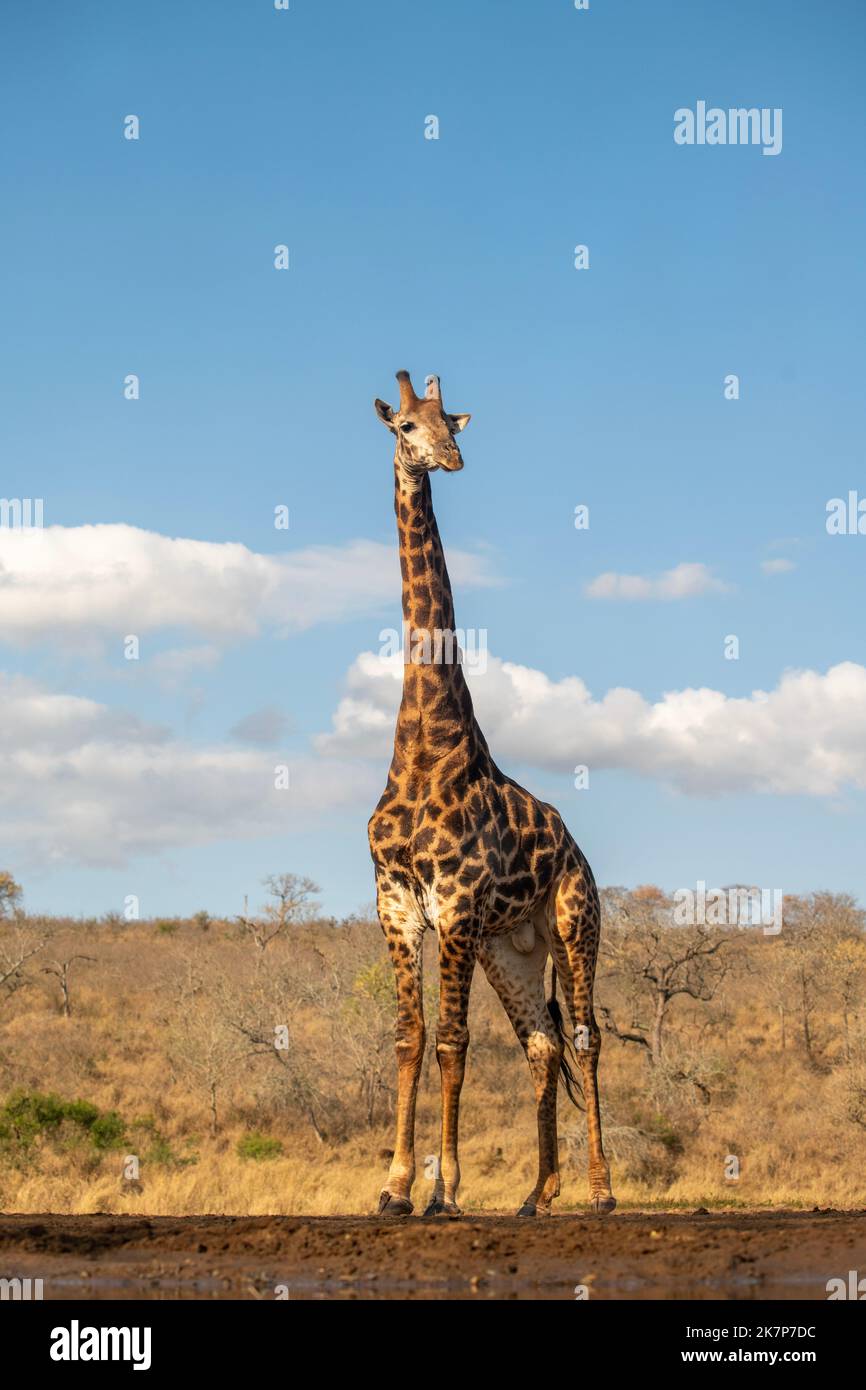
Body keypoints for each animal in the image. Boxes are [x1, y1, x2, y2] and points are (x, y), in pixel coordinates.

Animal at [368, 369, 615, 1218]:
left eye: (451, 421)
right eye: (405, 427)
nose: (450, 458)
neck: (423, 745)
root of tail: (578, 848)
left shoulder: (457, 905)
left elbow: (452, 1042)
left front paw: (443, 1190)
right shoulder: (398, 904)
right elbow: (410, 1039)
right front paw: (394, 1187)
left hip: (574, 923)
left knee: (586, 1038)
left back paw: (601, 1190)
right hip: (514, 948)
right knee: (541, 1044)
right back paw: (537, 1195)